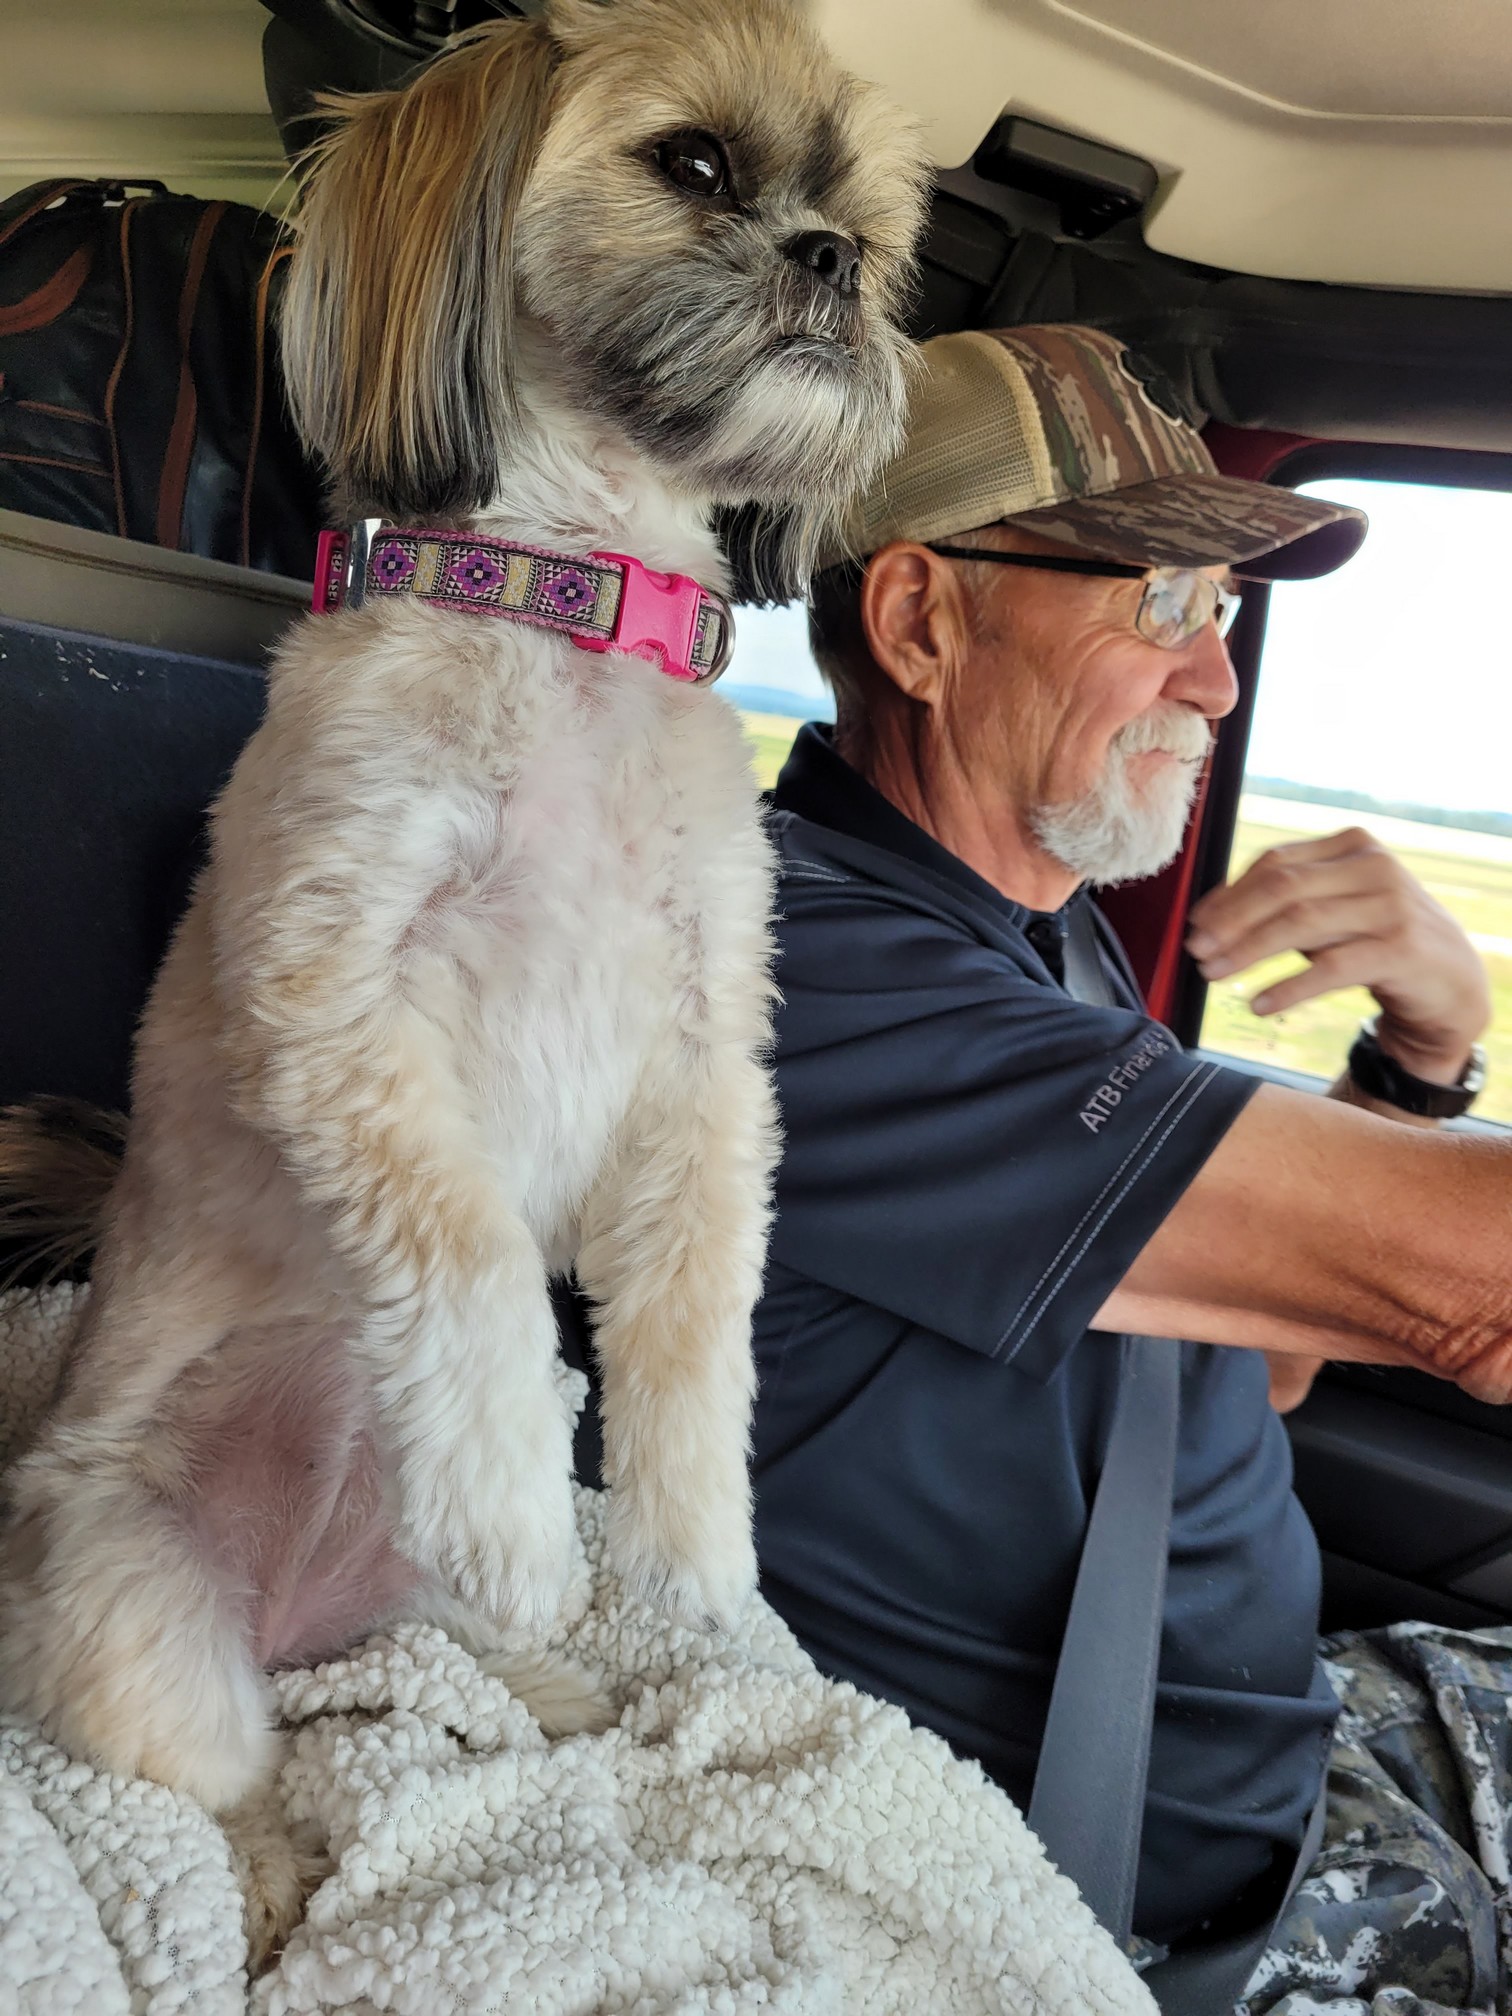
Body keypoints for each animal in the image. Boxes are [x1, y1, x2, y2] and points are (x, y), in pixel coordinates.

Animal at [0, 0, 926, 1967]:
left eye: (875, 234)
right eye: (697, 165)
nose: (832, 266)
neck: (565, 607)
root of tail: (297, 1606)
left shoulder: (709, 1057)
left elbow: (696, 1321)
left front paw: (689, 1548)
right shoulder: (338, 1000)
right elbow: (473, 1250)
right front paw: (510, 1504)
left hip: (375, 1606)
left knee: (427, 1650)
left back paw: (550, 1677)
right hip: (139, 1609)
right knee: (234, 1768)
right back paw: (271, 1869)